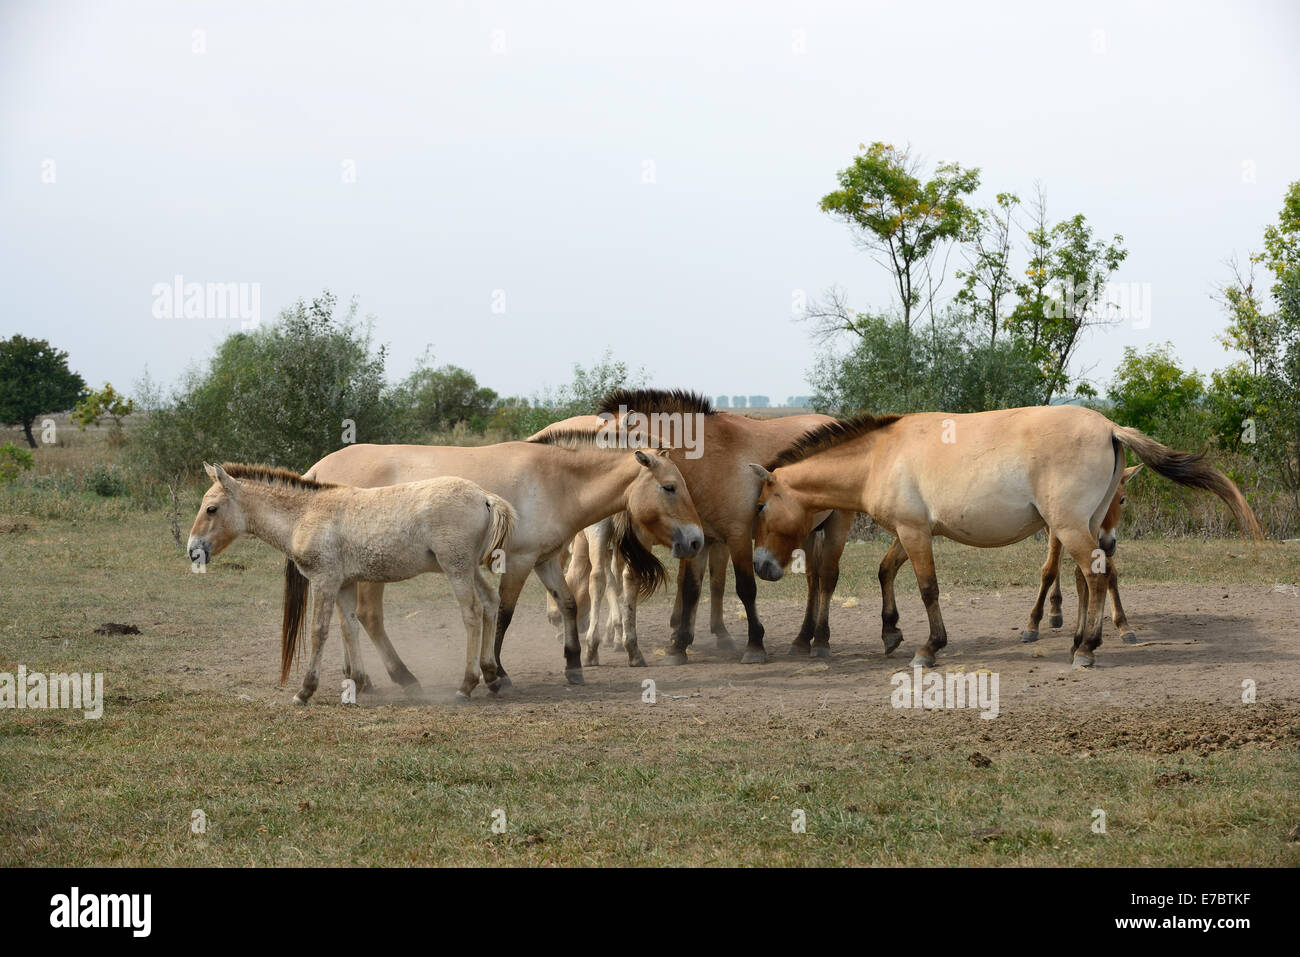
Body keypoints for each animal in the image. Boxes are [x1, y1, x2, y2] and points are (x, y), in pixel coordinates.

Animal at [188, 462, 512, 702]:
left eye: (211, 509)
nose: (193, 551)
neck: (304, 514)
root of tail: (484, 496)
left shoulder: (324, 580)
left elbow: (319, 631)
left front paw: (305, 691)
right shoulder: (343, 584)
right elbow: (348, 628)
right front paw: (357, 681)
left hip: (456, 568)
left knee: (472, 613)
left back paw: (466, 684)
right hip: (468, 568)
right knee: (490, 602)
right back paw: (491, 675)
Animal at [304, 434, 702, 686]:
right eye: (669, 487)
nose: (696, 540)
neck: (555, 481)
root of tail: (318, 469)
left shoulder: (545, 561)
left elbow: (569, 603)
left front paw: (573, 665)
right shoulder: (519, 562)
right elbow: (504, 615)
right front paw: (497, 672)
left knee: (348, 617)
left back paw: (360, 677)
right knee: (368, 617)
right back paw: (401, 677)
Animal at [1019, 462, 1144, 642]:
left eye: (1122, 499)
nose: (1107, 544)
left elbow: (1110, 573)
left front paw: (1123, 625)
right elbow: (1050, 570)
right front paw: (1032, 624)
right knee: (1056, 563)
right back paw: (1055, 611)